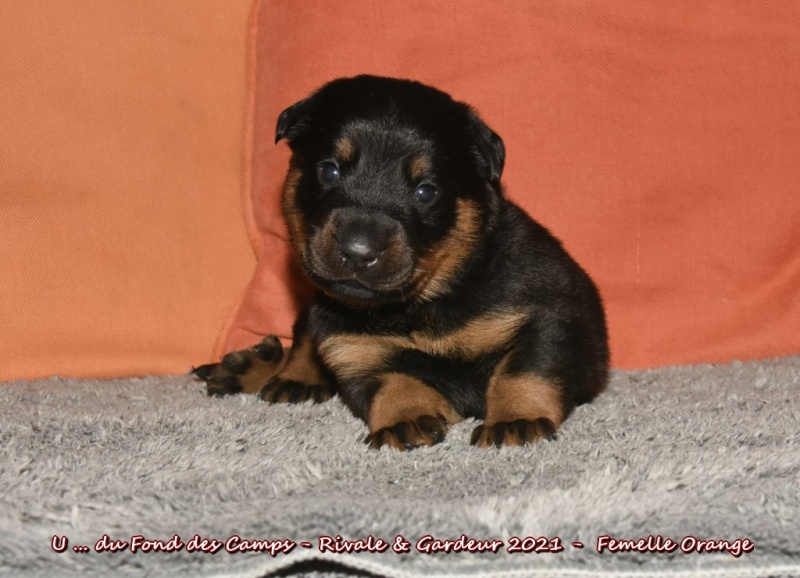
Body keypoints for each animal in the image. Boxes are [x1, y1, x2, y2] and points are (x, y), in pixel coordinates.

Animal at [194, 75, 609, 450]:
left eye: (426, 191)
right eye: (328, 170)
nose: (358, 250)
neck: (421, 306)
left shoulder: (547, 311)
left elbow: (524, 370)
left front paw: (516, 421)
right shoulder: (351, 349)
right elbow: (390, 381)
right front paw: (406, 419)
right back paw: (268, 371)